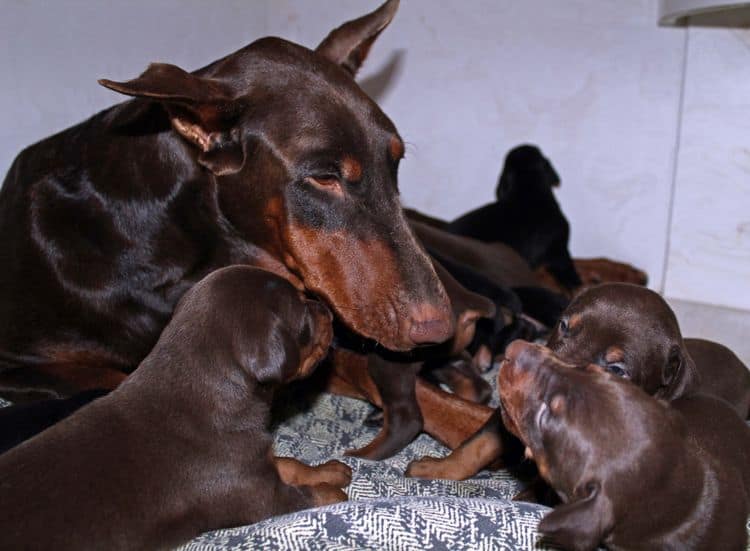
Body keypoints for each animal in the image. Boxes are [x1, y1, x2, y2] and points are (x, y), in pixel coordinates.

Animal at [0, 266, 352, 548]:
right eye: (303, 314)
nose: (327, 310)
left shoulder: (253, 463)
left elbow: (289, 463)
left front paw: (328, 471)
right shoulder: (259, 494)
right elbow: (305, 497)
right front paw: (334, 496)